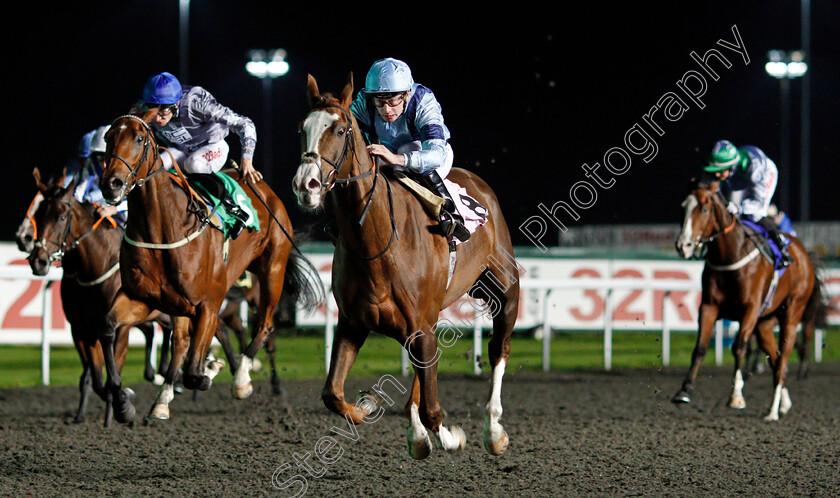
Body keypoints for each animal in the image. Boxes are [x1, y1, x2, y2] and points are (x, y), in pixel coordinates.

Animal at [26, 167, 171, 428]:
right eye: (39, 215)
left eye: (61, 217)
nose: (38, 261)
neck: (94, 268)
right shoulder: (82, 330)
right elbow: (95, 378)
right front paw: (120, 402)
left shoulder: (119, 328)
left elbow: (114, 372)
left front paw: (120, 408)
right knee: (157, 330)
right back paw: (157, 371)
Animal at [97, 113, 322, 424]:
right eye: (108, 137)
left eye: (139, 138)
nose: (112, 184)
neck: (164, 227)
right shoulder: (142, 298)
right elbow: (108, 328)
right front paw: (121, 402)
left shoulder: (208, 304)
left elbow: (195, 373)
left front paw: (213, 368)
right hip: (179, 303)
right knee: (180, 341)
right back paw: (163, 399)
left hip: (272, 268)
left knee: (264, 325)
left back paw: (242, 378)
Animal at [292, 74, 520, 460]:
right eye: (302, 128)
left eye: (340, 130)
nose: (305, 185)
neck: (378, 242)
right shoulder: (354, 323)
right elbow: (332, 394)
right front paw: (367, 406)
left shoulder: (420, 327)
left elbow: (432, 409)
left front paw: (450, 437)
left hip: (504, 292)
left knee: (497, 352)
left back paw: (493, 431)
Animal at [668, 179, 820, 420]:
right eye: (683, 207)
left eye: (704, 208)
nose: (684, 245)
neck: (731, 253)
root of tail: (804, 253)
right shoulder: (709, 306)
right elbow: (700, 347)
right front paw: (683, 391)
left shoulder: (750, 308)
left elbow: (739, 346)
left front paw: (737, 396)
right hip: (764, 322)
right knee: (775, 359)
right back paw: (782, 403)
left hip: (792, 312)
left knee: (784, 358)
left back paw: (773, 411)